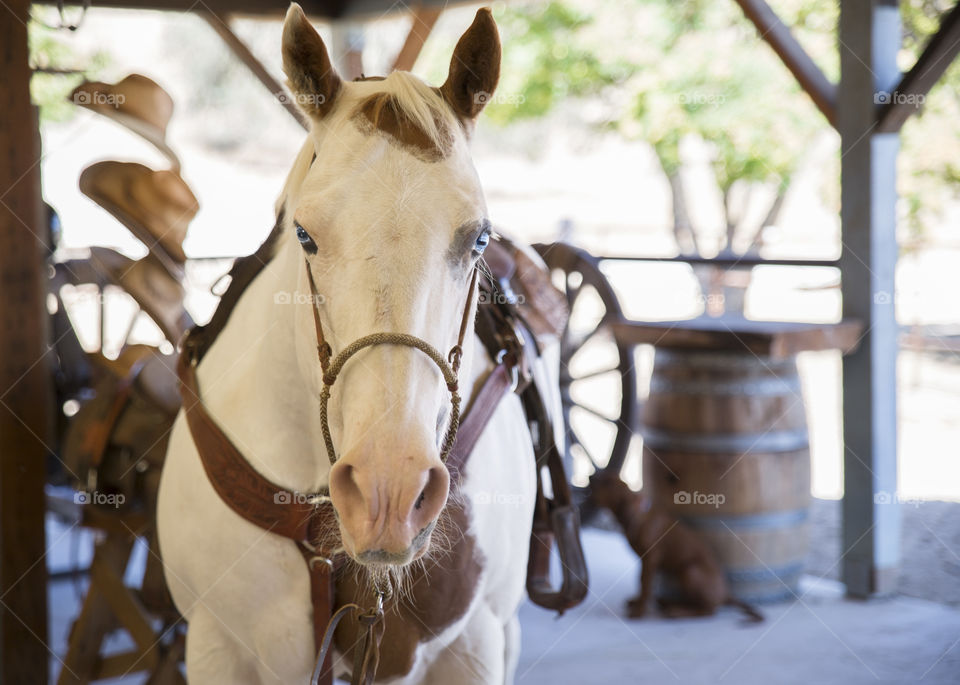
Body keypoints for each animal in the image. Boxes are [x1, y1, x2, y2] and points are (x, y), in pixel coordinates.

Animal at [588, 472, 760, 624]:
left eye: (607, 483)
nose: (590, 477)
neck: (639, 517)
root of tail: (725, 594)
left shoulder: (651, 558)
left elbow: (645, 585)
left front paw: (639, 611)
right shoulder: (644, 560)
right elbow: (640, 580)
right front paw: (637, 602)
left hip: (690, 571)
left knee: (707, 610)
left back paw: (676, 611)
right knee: (693, 602)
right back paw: (667, 603)